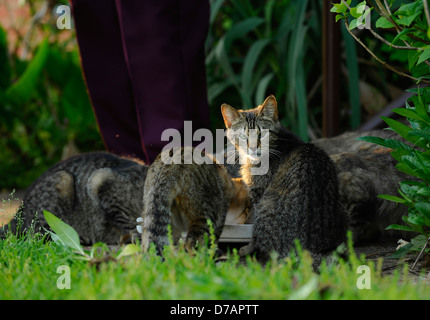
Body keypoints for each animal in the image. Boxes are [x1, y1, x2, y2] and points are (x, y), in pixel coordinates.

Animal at [220, 96, 348, 262]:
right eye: (243, 136)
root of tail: (310, 249)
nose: (253, 148)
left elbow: (253, 234)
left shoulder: (257, 197)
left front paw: (247, 248)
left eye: (262, 134)